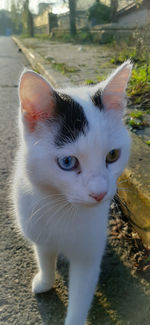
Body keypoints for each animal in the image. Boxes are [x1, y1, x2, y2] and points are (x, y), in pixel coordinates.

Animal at [12, 59, 132, 322]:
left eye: (112, 155)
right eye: (67, 162)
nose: (99, 193)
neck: (63, 206)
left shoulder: (87, 256)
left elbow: (80, 296)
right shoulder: (40, 232)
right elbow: (44, 256)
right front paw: (45, 280)